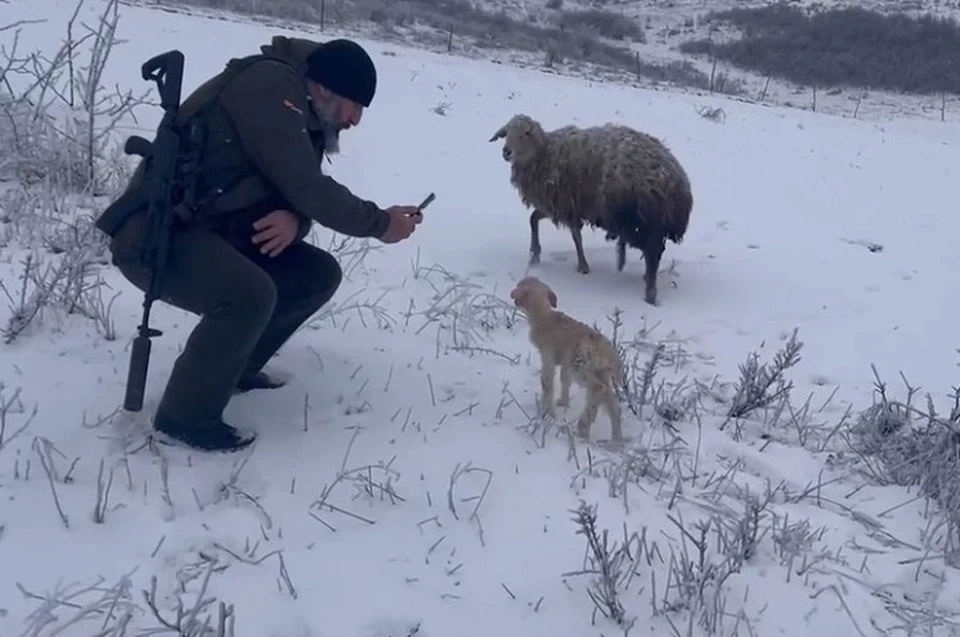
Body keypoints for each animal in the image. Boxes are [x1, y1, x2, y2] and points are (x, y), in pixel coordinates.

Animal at [492, 113, 692, 304]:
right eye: (506, 133)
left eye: (525, 133)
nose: (506, 152)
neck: (545, 153)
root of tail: (673, 180)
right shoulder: (560, 206)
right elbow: (534, 218)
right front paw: (535, 255)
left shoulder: (566, 205)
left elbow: (575, 236)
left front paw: (582, 266)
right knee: (655, 254)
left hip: (642, 222)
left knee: (652, 254)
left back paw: (649, 293)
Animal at [510, 276, 624, 444]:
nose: (514, 298)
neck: (543, 314)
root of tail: (613, 357)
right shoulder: (564, 362)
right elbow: (565, 380)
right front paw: (563, 403)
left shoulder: (547, 354)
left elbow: (547, 381)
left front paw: (547, 412)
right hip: (599, 372)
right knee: (613, 405)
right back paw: (615, 440)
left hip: (582, 364)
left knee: (598, 388)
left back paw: (584, 425)